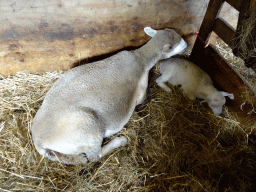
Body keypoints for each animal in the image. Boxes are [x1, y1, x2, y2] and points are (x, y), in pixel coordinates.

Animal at [32, 26, 188, 165]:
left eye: (171, 31)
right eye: (176, 45)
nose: (186, 44)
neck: (140, 57)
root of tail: (38, 141)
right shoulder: (141, 89)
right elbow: (141, 99)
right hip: (87, 128)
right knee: (95, 156)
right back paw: (120, 141)